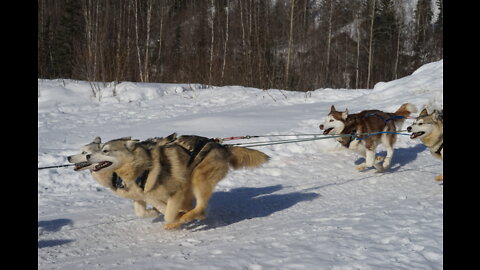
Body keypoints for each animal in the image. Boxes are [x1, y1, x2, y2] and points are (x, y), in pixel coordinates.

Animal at [84, 134, 268, 229]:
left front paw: (175, 218)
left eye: (105, 151)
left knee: (200, 206)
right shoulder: (149, 195)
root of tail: (221, 146)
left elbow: (169, 214)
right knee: (196, 207)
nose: (87, 156)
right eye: (99, 149)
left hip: (199, 179)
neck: (143, 167)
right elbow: (155, 209)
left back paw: (186, 218)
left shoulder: (176, 191)